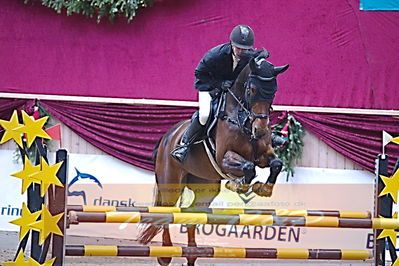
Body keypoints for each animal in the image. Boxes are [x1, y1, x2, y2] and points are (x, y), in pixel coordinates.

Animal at [139, 50, 290, 266]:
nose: (260, 131)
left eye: (273, 92)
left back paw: (191, 254)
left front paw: (263, 188)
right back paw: (166, 254)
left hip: (205, 187)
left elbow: (276, 163)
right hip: (171, 183)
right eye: (252, 90)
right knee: (166, 213)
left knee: (192, 214)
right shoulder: (224, 159)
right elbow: (248, 167)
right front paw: (238, 185)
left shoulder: (263, 155)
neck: (243, 118)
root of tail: (167, 137)